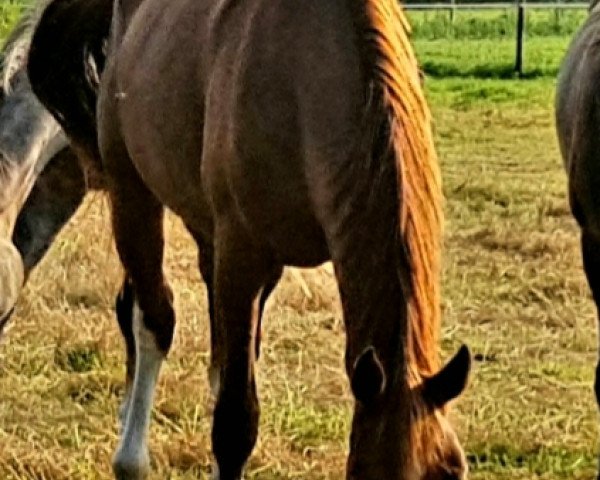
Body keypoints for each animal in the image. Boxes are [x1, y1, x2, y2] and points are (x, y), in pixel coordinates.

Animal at [29, 0, 474, 478]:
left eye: (453, 469)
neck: (305, 81)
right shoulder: (242, 258)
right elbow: (234, 423)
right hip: (133, 194)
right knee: (152, 316)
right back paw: (131, 454)